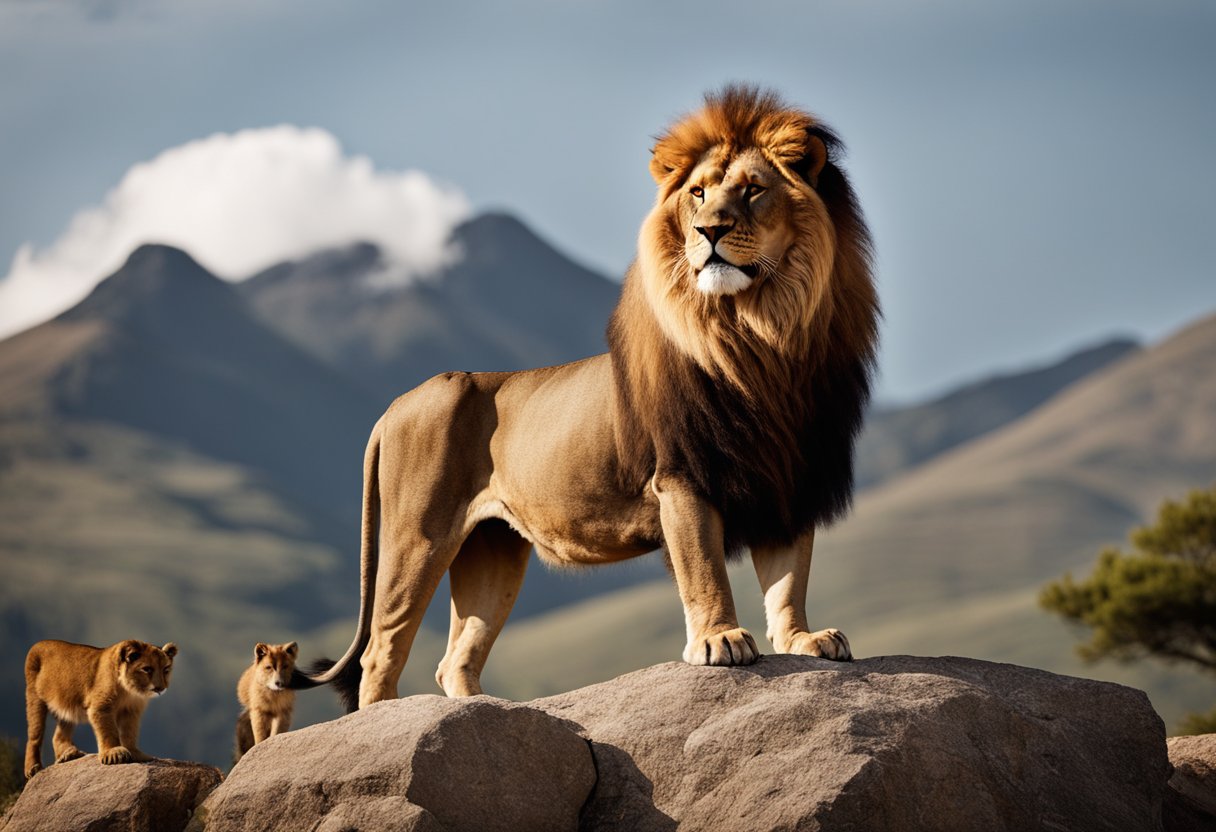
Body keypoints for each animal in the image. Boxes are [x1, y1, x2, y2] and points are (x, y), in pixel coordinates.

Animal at [23, 639, 177, 778]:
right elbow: (108, 731)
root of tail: (38, 643)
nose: (160, 688)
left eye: (166, 670)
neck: (129, 692)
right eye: (147, 669)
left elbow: (129, 732)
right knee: (34, 736)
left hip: (67, 709)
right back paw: (33, 768)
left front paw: (135, 753)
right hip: (35, 698)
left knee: (58, 736)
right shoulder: (101, 706)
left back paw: (70, 755)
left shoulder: (131, 711)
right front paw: (114, 752)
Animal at [299, 85, 879, 711]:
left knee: (455, 658)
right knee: (380, 654)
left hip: (491, 549)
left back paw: (488, 713)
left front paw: (803, 640)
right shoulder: (683, 477)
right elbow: (705, 568)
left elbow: (789, 580)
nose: (709, 231)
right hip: (417, 536)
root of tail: (395, 405)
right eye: (698, 193)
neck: (762, 337)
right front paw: (719, 639)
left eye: (752, 189)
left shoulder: (793, 479)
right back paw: (392, 718)